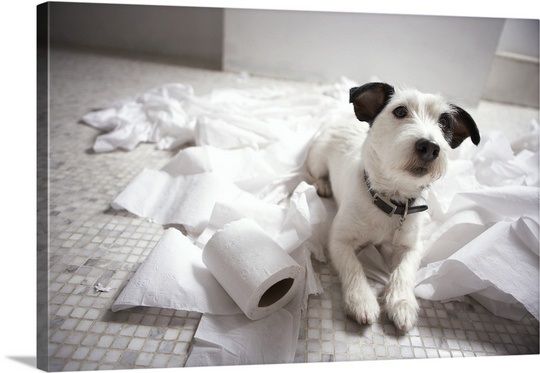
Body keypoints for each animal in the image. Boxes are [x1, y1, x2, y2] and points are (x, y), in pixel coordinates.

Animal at [308, 83, 480, 330]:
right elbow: (353, 266)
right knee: (314, 173)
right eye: (400, 111)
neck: (392, 200)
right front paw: (361, 299)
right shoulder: (339, 241)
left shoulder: (412, 246)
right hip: (317, 158)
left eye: (445, 122)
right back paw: (322, 184)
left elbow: (404, 270)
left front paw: (401, 302)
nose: (430, 146)